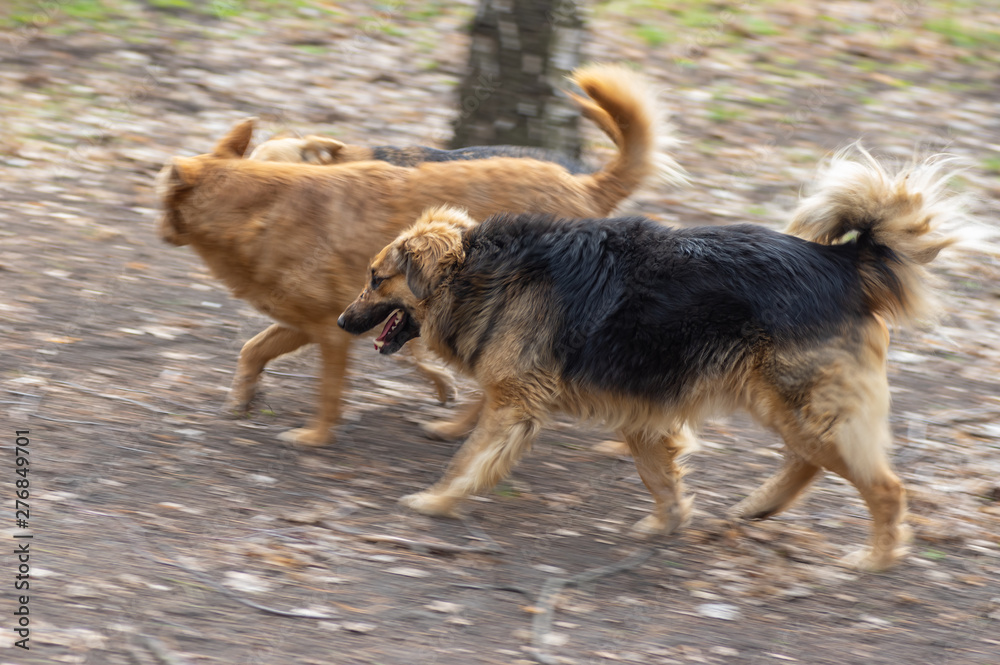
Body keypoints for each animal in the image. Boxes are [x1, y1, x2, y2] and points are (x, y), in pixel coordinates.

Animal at [158, 65, 688, 446]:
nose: (162, 230)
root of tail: (585, 186)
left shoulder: (335, 325)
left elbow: (337, 385)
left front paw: (317, 435)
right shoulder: (318, 320)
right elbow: (255, 348)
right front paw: (242, 398)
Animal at [340, 150, 964, 572]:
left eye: (375, 278)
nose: (343, 322)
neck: (478, 273)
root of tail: (845, 264)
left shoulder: (516, 406)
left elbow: (470, 460)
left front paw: (436, 500)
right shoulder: (642, 413)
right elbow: (659, 477)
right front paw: (670, 522)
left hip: (802, 407)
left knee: (884, 486)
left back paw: (876, 558)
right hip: (789, 408)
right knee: (809, 463)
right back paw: (760, 507)